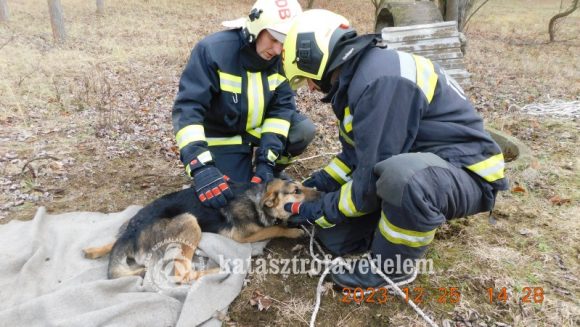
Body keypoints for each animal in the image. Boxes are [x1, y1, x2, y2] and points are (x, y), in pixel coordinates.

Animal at [83, 179, 322, 284]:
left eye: (302, 185)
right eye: (296, 191)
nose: (322, 193)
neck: (257, 200)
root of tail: (132, 233)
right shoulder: (241, 235)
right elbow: (275, 227)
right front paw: (293, 231)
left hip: (131, 225)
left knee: (115, 240)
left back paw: (93, 250)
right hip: (190, 221)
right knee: (182, 275)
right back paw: (219, 270)